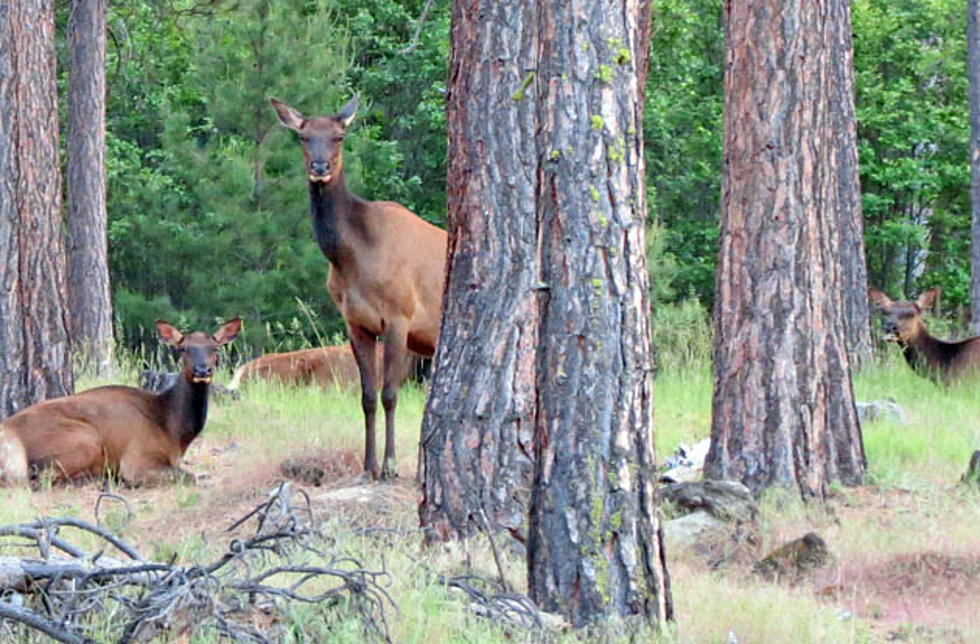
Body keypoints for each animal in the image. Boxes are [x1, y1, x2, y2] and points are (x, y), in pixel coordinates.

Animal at [0, 320, 239, 486]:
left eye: (214, 348)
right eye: (183, 349)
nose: (202, 370)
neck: (173, 431)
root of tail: (9, 433)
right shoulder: (137, 458)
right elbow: (188, 476)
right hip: (85, 438)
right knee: (40, 479)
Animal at [272, 94, 448, 478]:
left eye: (339, 136)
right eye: (303, 137)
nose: (320, 166)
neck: (354, 258)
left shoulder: (400, 316)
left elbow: (390, 394)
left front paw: (390, 465)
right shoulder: (355, 323)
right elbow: (367, 396)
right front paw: (368, 466)